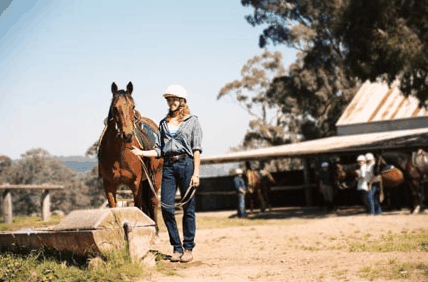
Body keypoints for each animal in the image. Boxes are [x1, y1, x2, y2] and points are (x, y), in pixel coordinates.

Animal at [98, 81, 164, 231]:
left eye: (132, 106)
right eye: (115, 108)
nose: (127, 135)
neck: (119, 155)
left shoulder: (135, 183)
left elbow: (137, 208)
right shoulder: (109, 185)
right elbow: (114, 210)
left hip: (156, 177)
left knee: (153, 202)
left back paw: (156, 230)